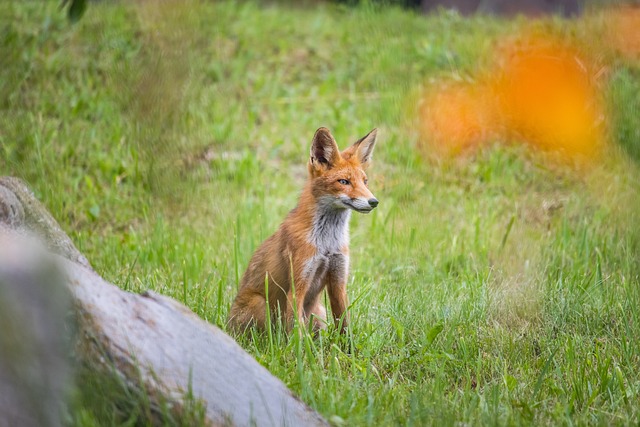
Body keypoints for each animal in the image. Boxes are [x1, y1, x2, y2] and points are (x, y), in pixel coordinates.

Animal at [229, 127, 380, 334]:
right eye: (344, 182)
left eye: (365, 181)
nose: (374, 202)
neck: (327, 243)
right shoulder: (298, 284)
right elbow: (296, 333)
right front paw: (297, 344)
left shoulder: (338, 280)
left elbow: (344, 326)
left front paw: (347, 344)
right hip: (261, 305)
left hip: (319, 312)